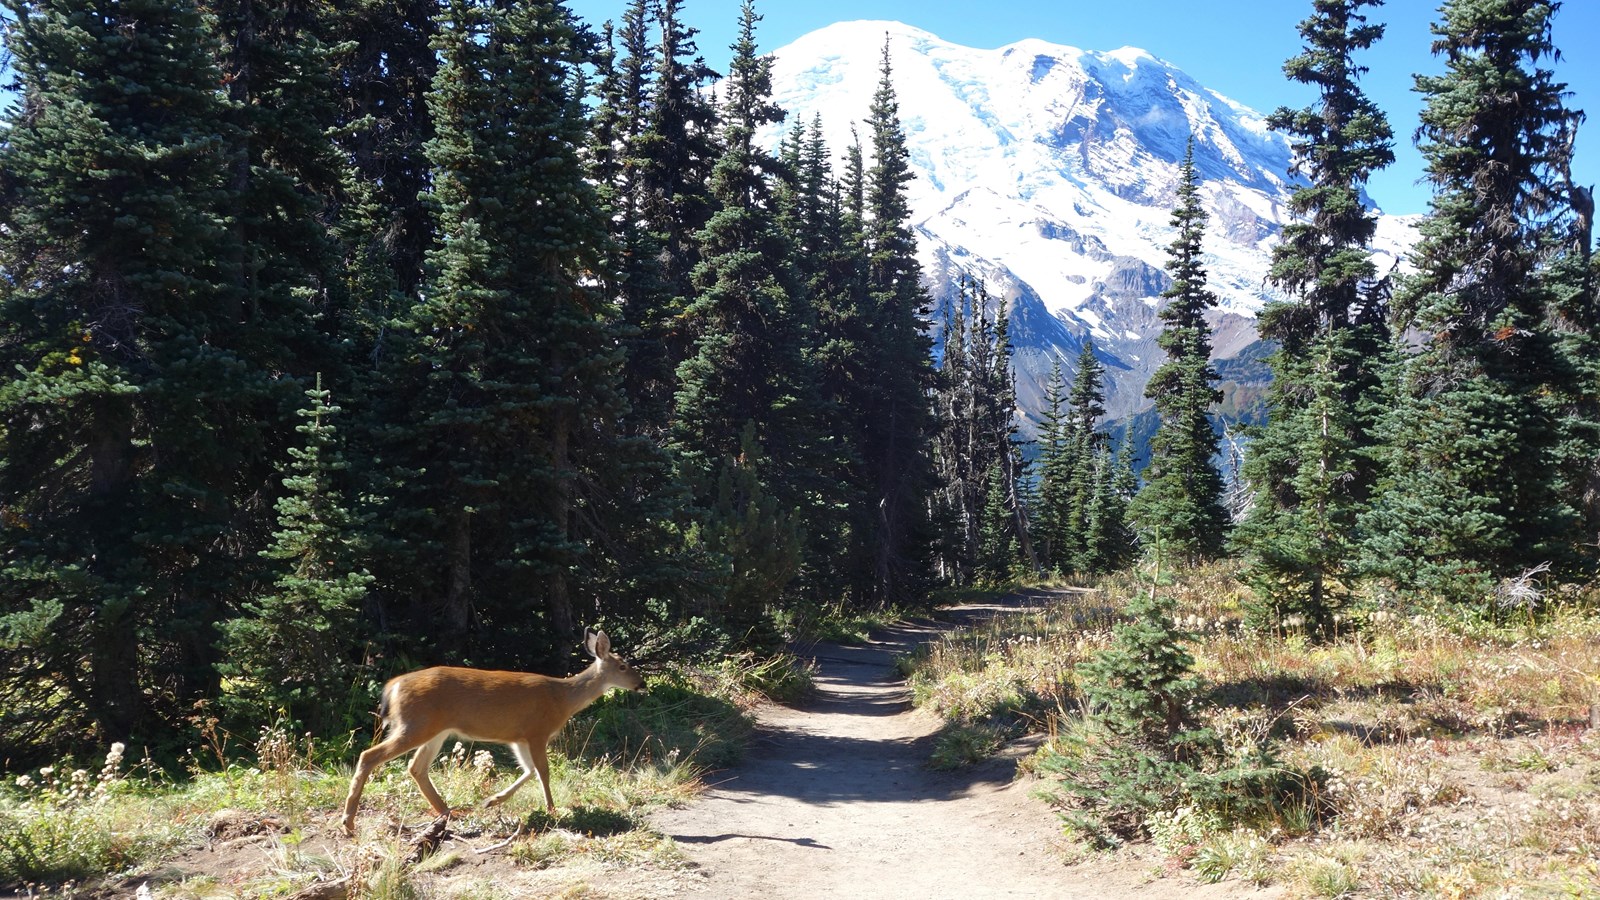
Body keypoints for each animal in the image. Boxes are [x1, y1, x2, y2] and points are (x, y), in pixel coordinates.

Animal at [339, 627, 643, 832]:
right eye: (623, 666)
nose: (641, 684)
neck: (563, 699)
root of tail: (393, 686)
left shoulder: (519, 737)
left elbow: (529, 771)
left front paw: (492, 801)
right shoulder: (537, 730)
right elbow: (543, 772)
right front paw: (552, 809)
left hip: (434, 729)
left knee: (416, 767)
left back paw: (448, 812)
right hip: (415, 724)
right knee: (369, 756)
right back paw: (349, 821)